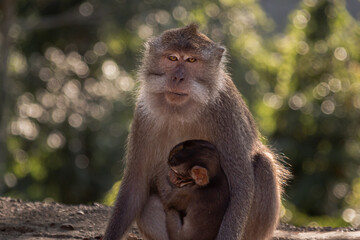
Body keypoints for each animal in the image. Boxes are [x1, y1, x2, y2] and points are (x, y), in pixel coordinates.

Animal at [102, 23, 288, 240]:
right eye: (172, 58)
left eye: (191, 60)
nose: (178, 77)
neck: (181, 109)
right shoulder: (143, 115)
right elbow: (135, 186)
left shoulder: (226, 113)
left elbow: (242, 185)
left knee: (264, 163)